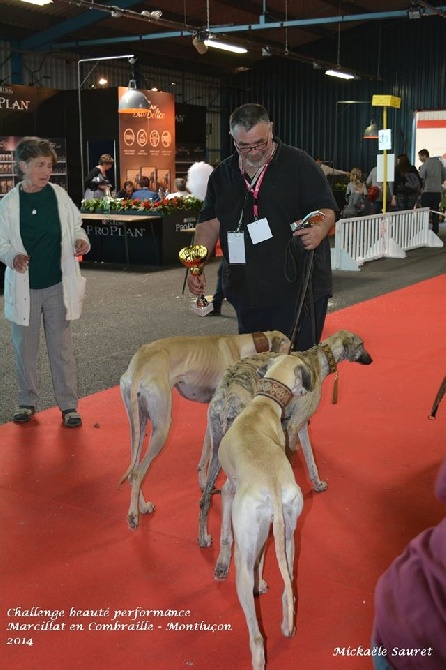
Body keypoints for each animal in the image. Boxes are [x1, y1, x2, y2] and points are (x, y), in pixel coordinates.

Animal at [120, 330, 290, 532]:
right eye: (291, 349)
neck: (243, 344)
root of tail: (141, 361)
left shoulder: (211, 415)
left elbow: (205, 454)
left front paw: (203, 485)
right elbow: (209, 455)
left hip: (138, 423)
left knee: (133, 469)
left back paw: (142, 507)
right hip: (162, 427)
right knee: (138, 472)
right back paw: (133, 516)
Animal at [199, 330, 372, 552]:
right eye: (361, 344)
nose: (371, 360)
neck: (318, 359)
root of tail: (228, 388)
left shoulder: (290, 426)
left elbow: (307, 459)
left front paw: (315, 485)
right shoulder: (296, 426)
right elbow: (307, 459)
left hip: (217, 449)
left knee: (204, 498)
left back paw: (204, 538)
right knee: (230, 492)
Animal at [216, 354, 314, 668]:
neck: (261, 406)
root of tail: (272, 482)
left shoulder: (228, 490)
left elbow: (225, 533)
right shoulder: (267, 532)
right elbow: (262, 560)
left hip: (243, 558)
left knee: (257, 635)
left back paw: (258, 656)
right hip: (289, 535)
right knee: (289, 587)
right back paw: (287, 623)